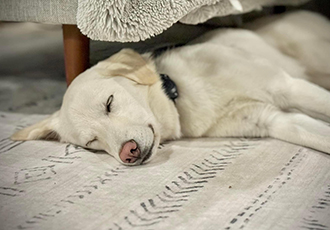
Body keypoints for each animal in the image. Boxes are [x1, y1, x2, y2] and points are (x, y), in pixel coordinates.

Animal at [11, 11, 330, 165]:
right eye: (91, 143)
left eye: (109, 103)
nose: (128, 154)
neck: (181, 92)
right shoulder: (276, 120)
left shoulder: (288, 87)